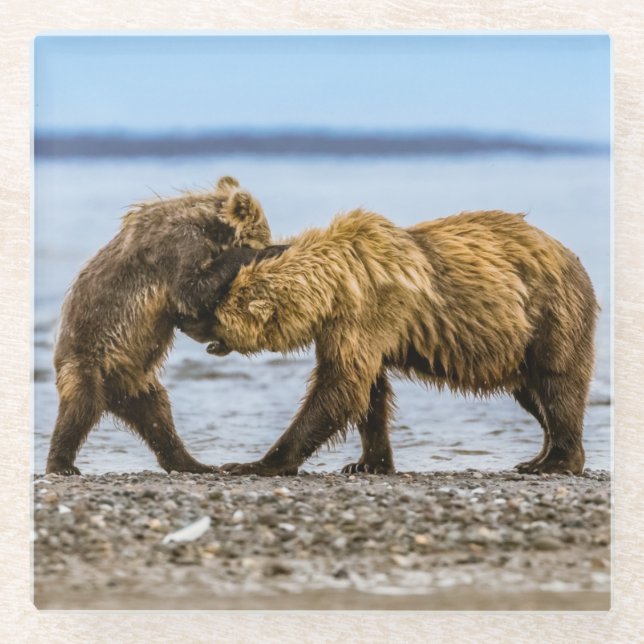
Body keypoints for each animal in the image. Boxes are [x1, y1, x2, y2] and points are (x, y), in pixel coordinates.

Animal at [45, 176, 286, 476]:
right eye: (265, 233)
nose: (272, 241)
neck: (209, 228)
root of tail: (112, 395)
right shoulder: (178, 247)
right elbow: (192, 289)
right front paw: (269, 251)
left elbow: (191, 306)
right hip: (87, 360)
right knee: (80, 407)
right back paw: (61, 464)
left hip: (136, 380)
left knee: (158, 417)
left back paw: (194, 463)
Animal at [180, 208, 599, 477]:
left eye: (212, 306)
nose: (183, 323)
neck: (333, 286)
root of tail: (571, 257)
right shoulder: (348, 328)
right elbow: (369, 392)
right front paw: (367, 462)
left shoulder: (369, 311)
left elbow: (339, 387)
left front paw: (252, 463)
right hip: (518, 346)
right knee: (532, 394)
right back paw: (538, 457)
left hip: (549, 315)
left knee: (557, 384)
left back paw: (557, 461)